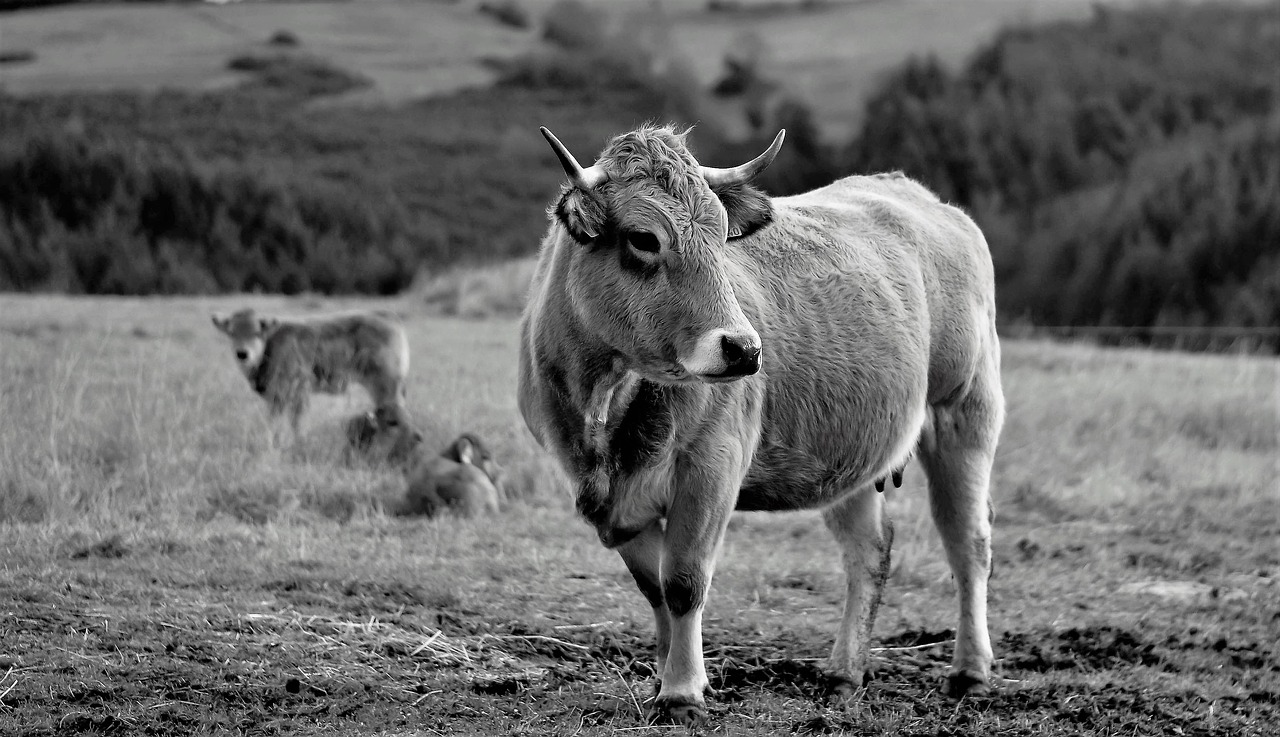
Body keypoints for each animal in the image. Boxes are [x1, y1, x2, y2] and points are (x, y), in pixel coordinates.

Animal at [211, 308, 410, 435]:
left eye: (257, 333)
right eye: (231, 332)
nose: (242, 353)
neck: (271, 345)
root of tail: (388, 316)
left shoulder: (299, 391)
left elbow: (296, 423)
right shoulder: (276, 398)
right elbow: (274, 424)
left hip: (386, 387)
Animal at [517, 124, 1004, 724]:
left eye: (721, 237)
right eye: (643, 238)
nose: (745, 349)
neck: (606, 406)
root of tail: (923, 199)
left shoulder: (712, 465)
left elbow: (683, 582)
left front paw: (682, 691)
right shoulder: (607, 499)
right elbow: (654, 589)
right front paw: (664, 680)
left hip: (965, 412)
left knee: (969, 543)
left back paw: (970, 672)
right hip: (849, 450)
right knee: (869, 550)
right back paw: (844, 675)